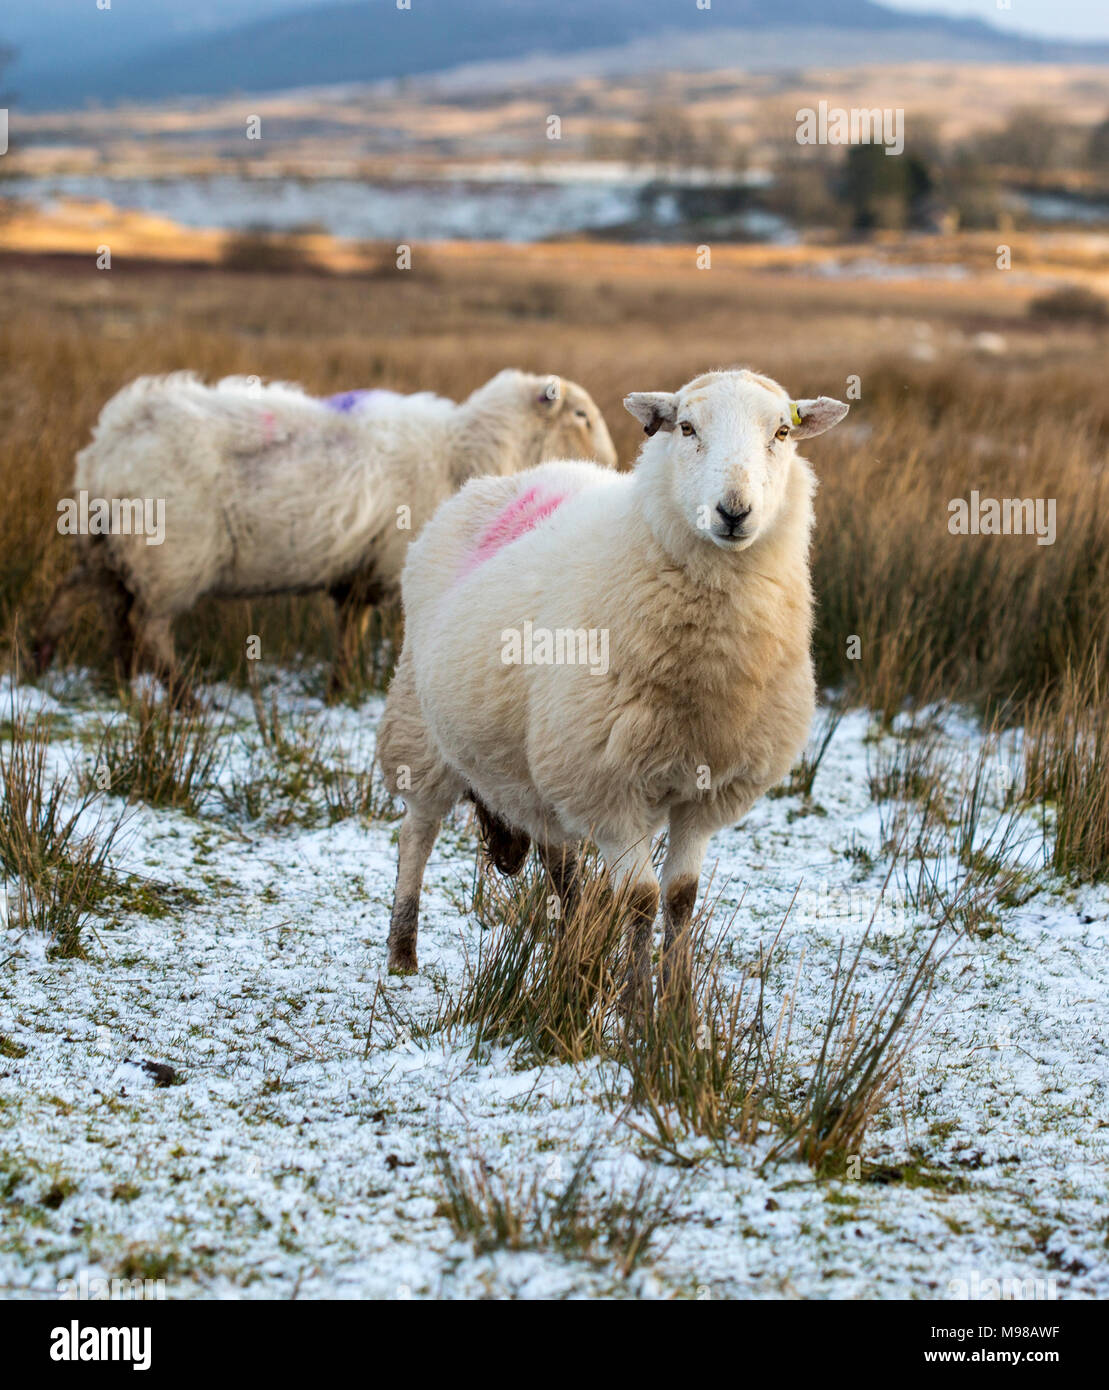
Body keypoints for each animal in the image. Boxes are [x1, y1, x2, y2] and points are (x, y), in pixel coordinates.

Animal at [34, 369, 619, 700]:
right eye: (582, 415)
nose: (615, 465)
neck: (462, 450)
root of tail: (112, 439)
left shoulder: (361, 568)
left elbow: (348, 629)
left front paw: (340, 689)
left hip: (109, 544)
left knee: (91, 599)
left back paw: (75, 668)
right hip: (170, 552)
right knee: (149, 628)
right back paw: (185, 700)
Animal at [375, 364, 850, 1006]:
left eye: (782, 432)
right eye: (685, 427)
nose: (733, 511)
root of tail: (502, 481)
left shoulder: (703, 793)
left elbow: (681, 898)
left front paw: (678, 1008)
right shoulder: (609, 785)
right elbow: (642, 901)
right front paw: (637, 1011)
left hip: (536, 761)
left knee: (557, 860)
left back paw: (570, 951)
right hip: (422, 729)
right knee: (417, 834)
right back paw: (403, 953)